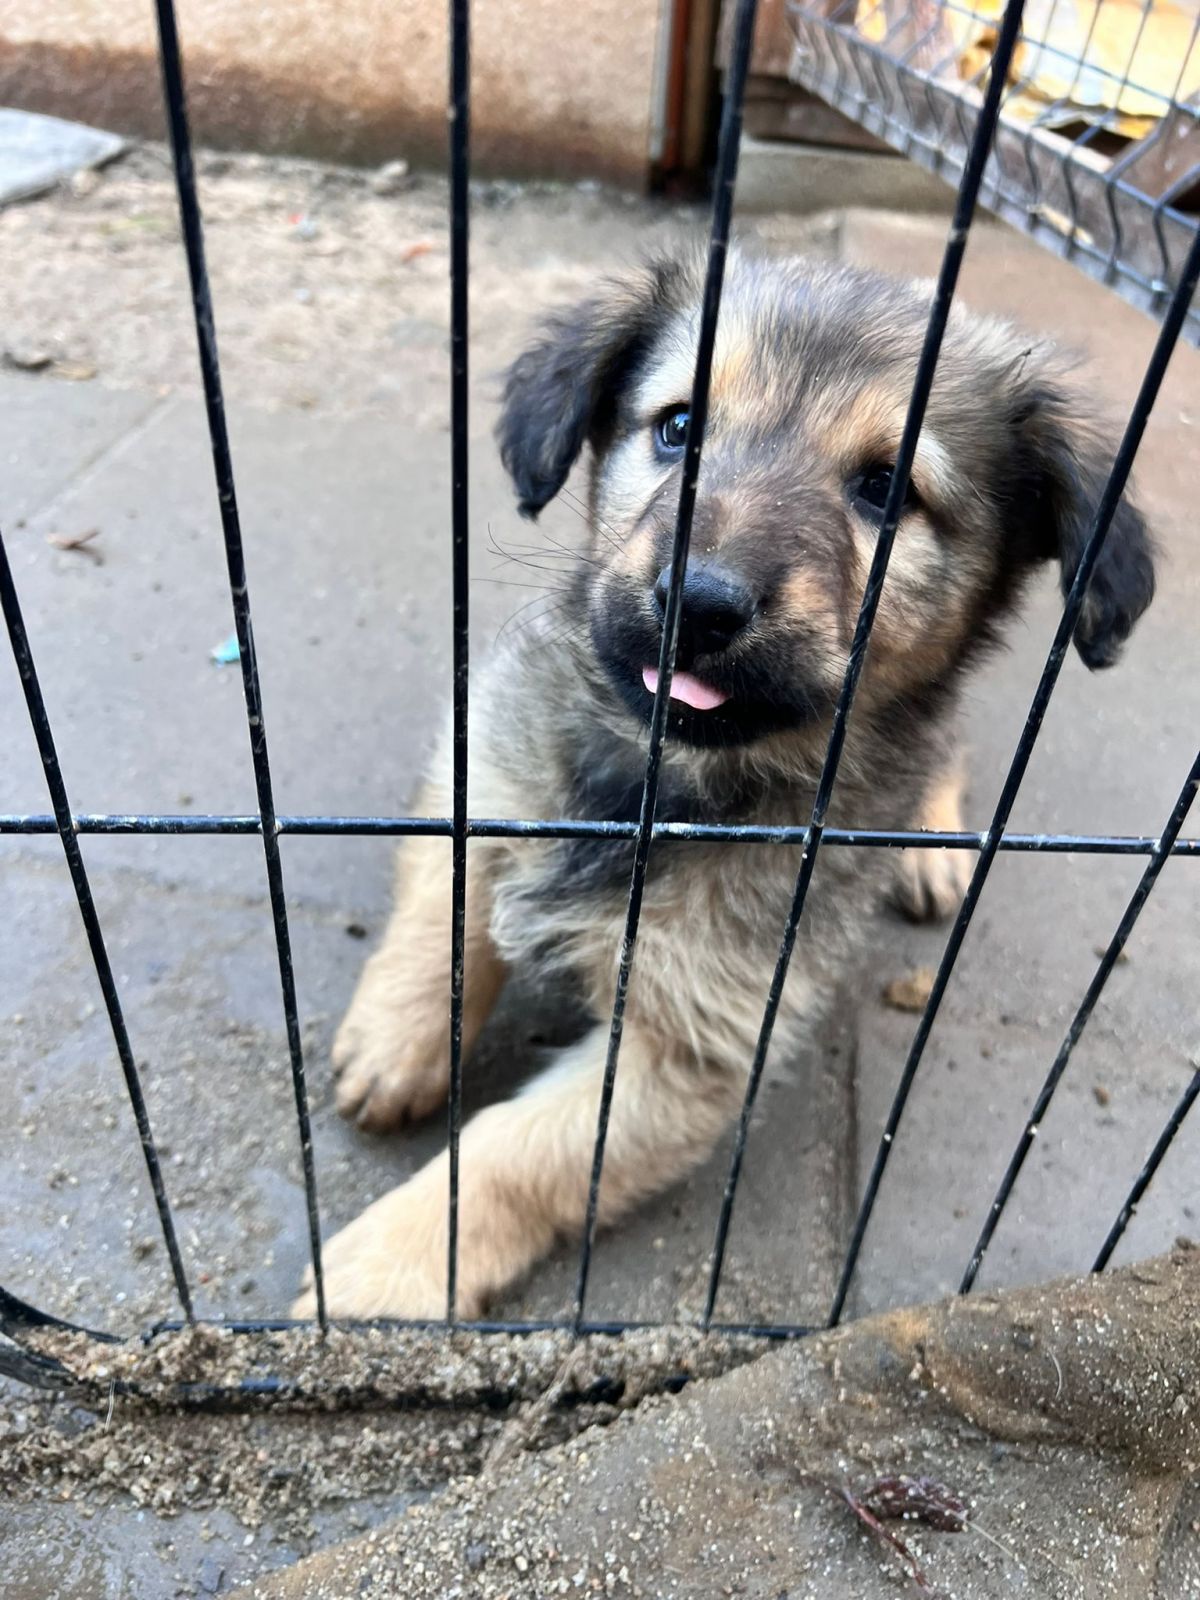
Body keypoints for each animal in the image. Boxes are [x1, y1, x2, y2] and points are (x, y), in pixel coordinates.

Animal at [293, 248, 1154, 1321]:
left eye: (887, 489)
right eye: (678, 427)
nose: (697, 603)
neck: (657, 781)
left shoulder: (695, 1045)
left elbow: (512, 1159)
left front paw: (388, 1267)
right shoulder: (480, 759)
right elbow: (440, 915)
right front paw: (394, 1043)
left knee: (949, 748)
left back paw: (928, 854)